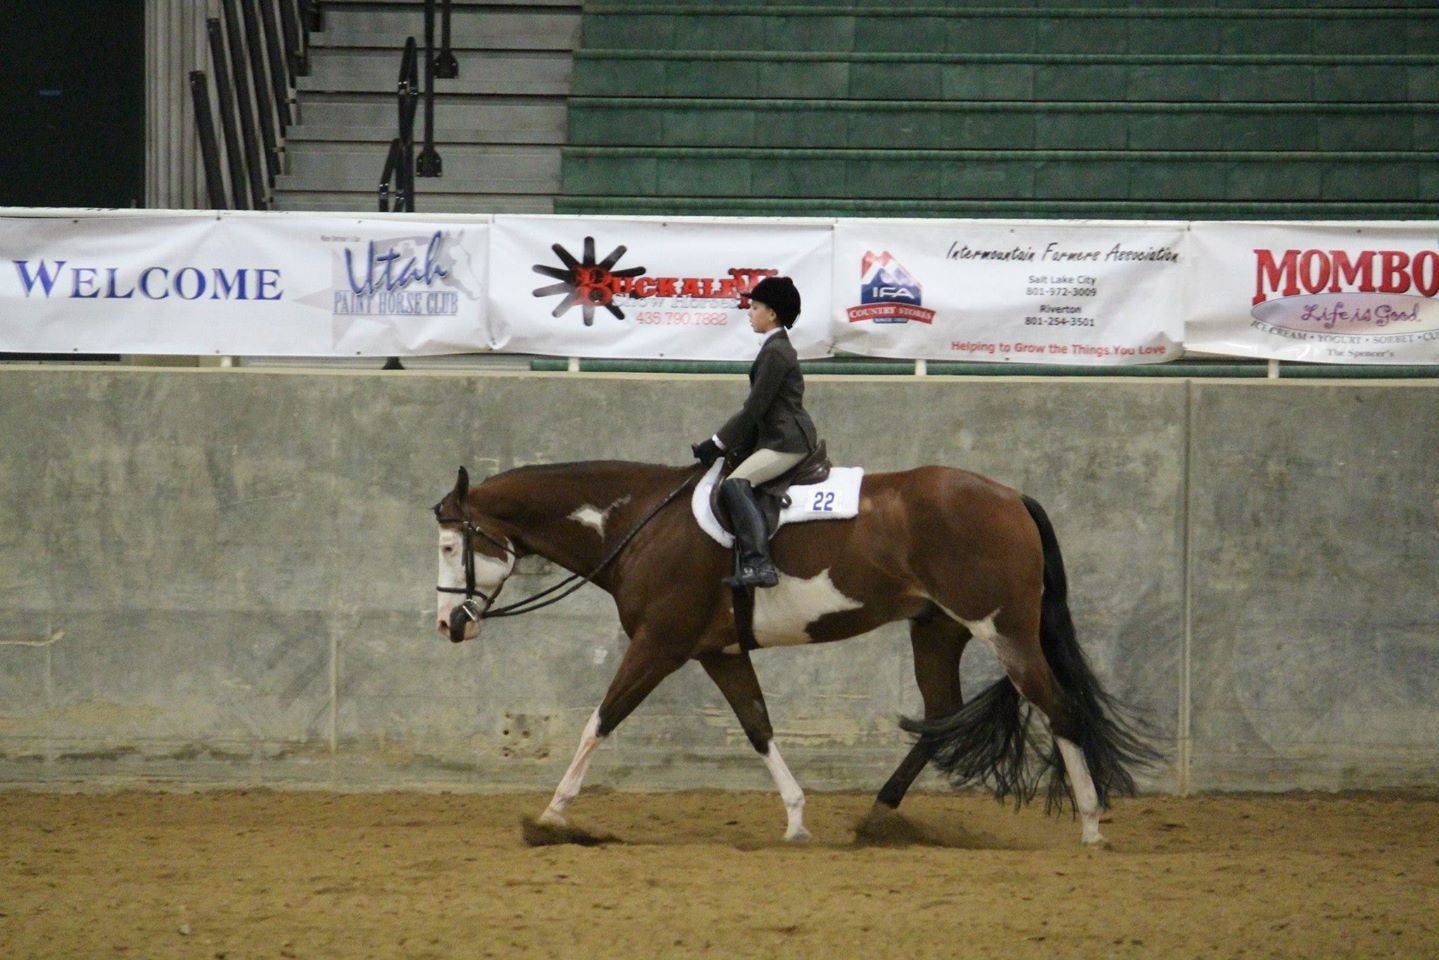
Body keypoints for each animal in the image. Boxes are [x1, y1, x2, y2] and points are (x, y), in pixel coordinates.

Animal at [432, 460, 1156, 846]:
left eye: (448, 545)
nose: (447, 625)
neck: (638, 525)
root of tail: (1010, 496)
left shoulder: (659, 644)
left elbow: (600, 721)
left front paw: (551, 816)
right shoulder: (718, 651)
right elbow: (757, 727)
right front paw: (797, 820)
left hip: (1003, 631)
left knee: (1059, 711)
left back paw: (1092, 827)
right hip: (937, 631)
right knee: (939, 721)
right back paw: (876, 817)